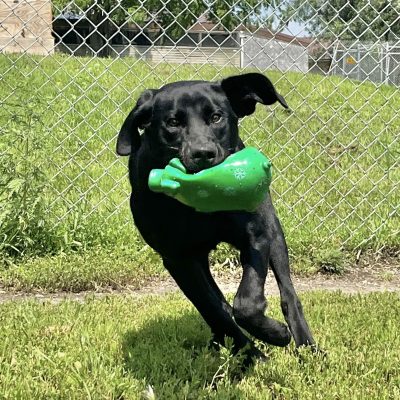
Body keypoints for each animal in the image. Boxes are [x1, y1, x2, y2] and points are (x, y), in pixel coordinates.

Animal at [116, 72, 316, 362]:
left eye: (216, 117)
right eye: (173, 123)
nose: (203, 153)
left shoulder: (256, 236)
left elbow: (246, 303)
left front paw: (276, 334)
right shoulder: (178, 259)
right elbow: (214, 308)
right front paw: (250, 352)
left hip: (274, 230)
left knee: (288, 293)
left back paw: (308, 346)